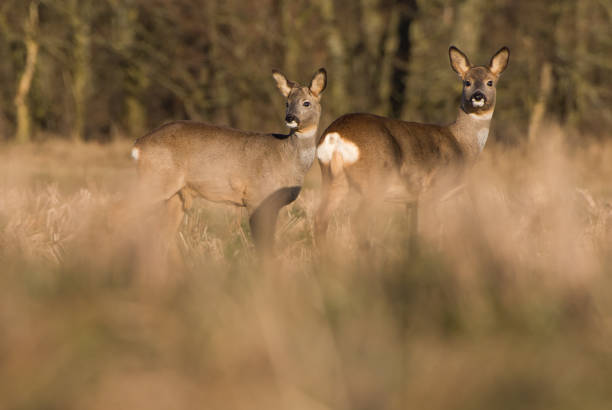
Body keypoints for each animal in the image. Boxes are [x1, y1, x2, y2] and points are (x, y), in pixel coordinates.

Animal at [131, 66, 328, 256]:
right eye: (287, 103)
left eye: (306, 102)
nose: (290, 118)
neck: (286, 157)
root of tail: (138, 145)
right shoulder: (256, 196)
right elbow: (262, 243)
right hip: (156, 181)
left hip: (177, 195)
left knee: (163, 236)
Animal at [314, 46, 510, 248]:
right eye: (467, 82)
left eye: (490, 82)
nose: (478, 96)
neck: (462, 145)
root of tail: (335, 135)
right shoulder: (431, 191)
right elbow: (429, 232)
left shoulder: (410, 200)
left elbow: (413, 234)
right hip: (375, 181)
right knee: (357, 222)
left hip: (332, 178)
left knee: (320, 219)